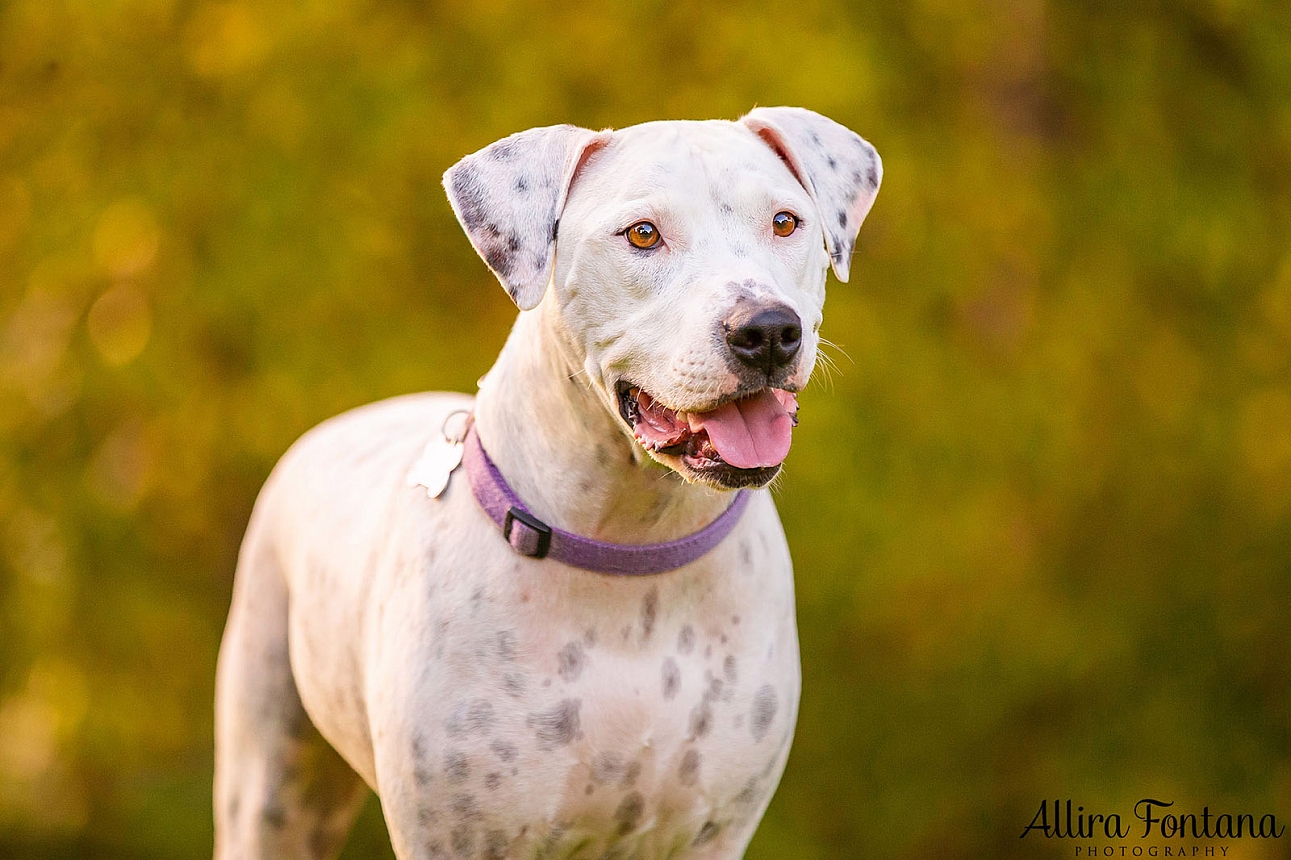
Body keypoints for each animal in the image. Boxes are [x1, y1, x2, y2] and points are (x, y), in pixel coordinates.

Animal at [214, 107, 877, 857]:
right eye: (642, 234)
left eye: (786, 222)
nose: (765, 330)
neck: (631, 548)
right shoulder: (454, 836)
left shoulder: (712, 835)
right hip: (267, 780)